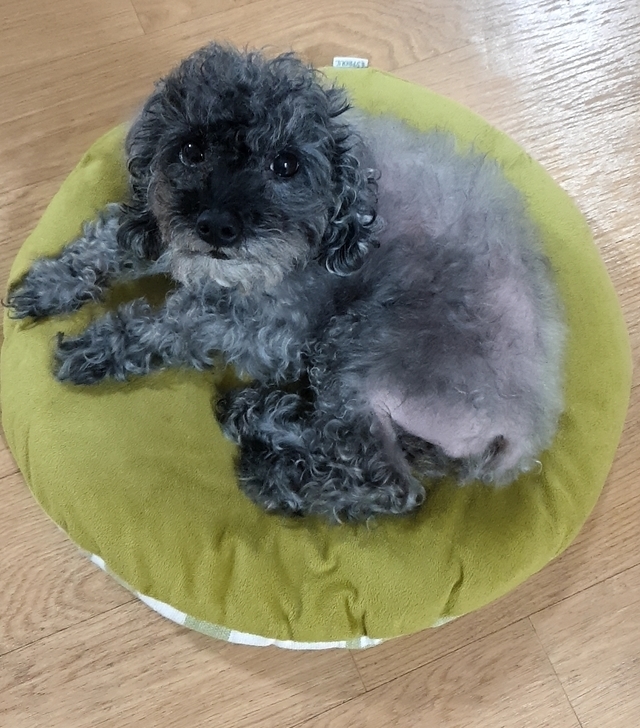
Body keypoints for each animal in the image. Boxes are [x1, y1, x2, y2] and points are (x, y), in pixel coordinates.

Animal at [7, 43, 565, 522]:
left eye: (286, 163)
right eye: (190, 149)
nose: (217, 227)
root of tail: (520, 435)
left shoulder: (268, 331)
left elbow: (170, 324)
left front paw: (94, 349)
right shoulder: (155, 229)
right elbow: (105, 244)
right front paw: (47, 285)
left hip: (358, 346)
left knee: (389, 482)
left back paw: (274, 474)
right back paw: (257, 413)